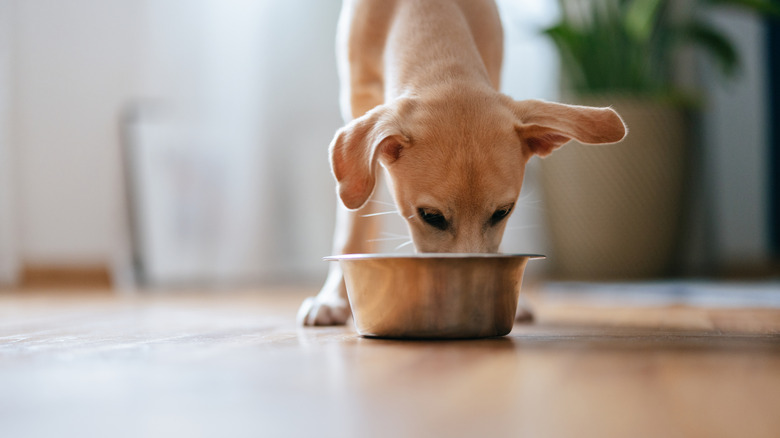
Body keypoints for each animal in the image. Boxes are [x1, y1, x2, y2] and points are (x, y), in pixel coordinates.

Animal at [298, 0, 628, 326]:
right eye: (431, 216)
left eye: (503, 212)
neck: (429, 16)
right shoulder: (358, 102)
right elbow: (352, 225)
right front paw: (333, 299)